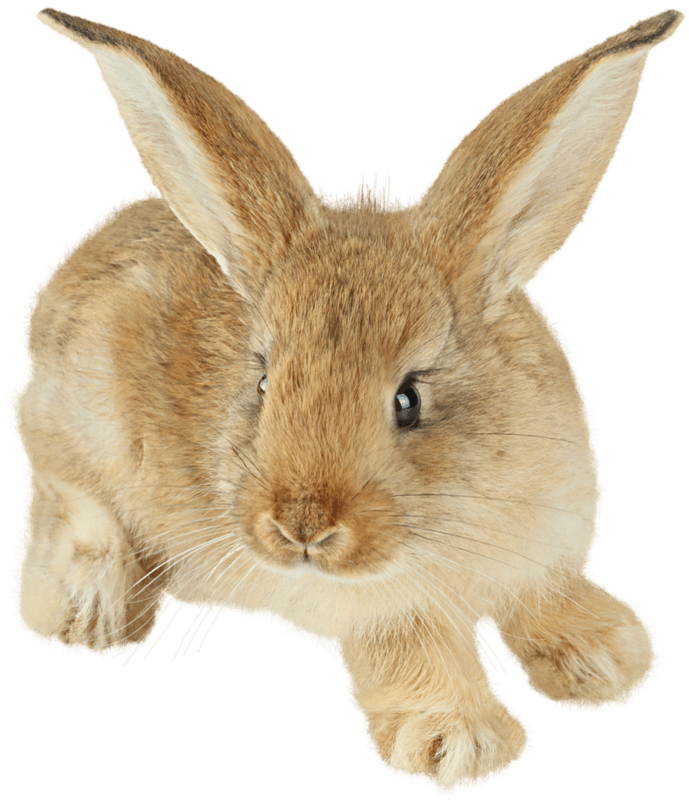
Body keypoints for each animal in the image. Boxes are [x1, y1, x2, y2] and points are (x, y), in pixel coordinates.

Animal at [9, 5, 682, 794]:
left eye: (408, 401)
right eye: (263, 382)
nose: (300, 526)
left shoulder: (544, 551)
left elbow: (548, 598)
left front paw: (608, 659)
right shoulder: (378, 611)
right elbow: (414, 649)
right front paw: (456, 741)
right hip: (77, 417)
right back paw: (90, 610)